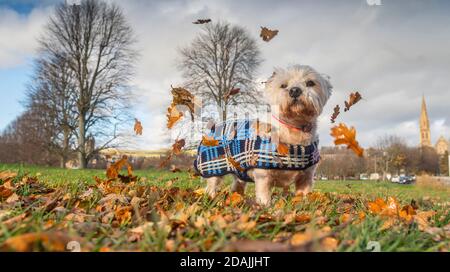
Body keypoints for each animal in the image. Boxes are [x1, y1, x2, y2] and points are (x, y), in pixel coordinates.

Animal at [192, 65, 330, 204]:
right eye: (283, 85)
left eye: (310, 83)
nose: (295, 90)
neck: (294, 129)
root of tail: (213, 128)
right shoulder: (263, 175)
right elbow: (264, 195)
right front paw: (265, 206)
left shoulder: (306, 177)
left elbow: (303, 195)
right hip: (213, 169)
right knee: (211, 187)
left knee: (237, 186)